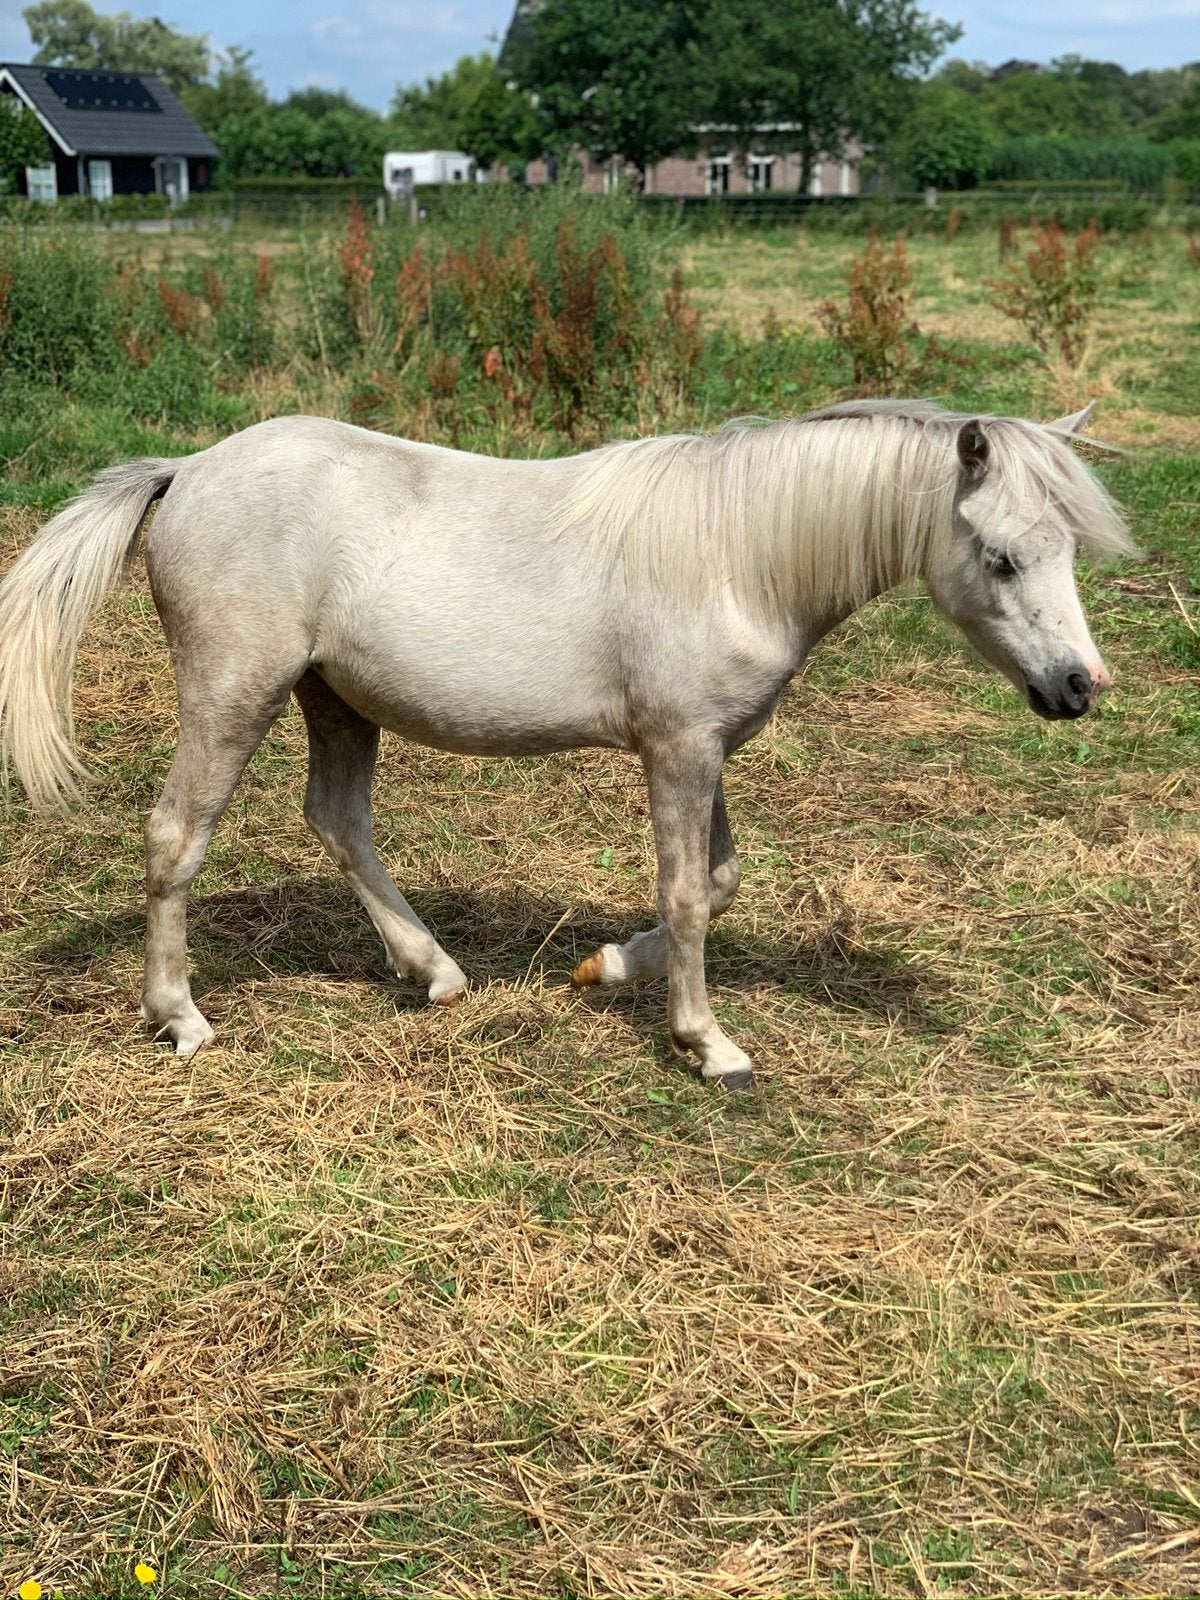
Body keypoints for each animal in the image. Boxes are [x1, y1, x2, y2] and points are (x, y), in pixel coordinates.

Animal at [0, 399, 1133, 1090]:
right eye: (1001, 556)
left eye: (1068, 548)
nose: (1080, 686)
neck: (739, 553)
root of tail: (188, 470)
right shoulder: (678, 750)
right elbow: (689, 893)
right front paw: (708, 1042)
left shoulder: (706, 747)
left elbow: (718, 881)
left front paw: (608, 969)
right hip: (235, 693)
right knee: (176, 837)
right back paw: (180, 1017)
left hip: (335, 700)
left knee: (338, 821)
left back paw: (434, 972)